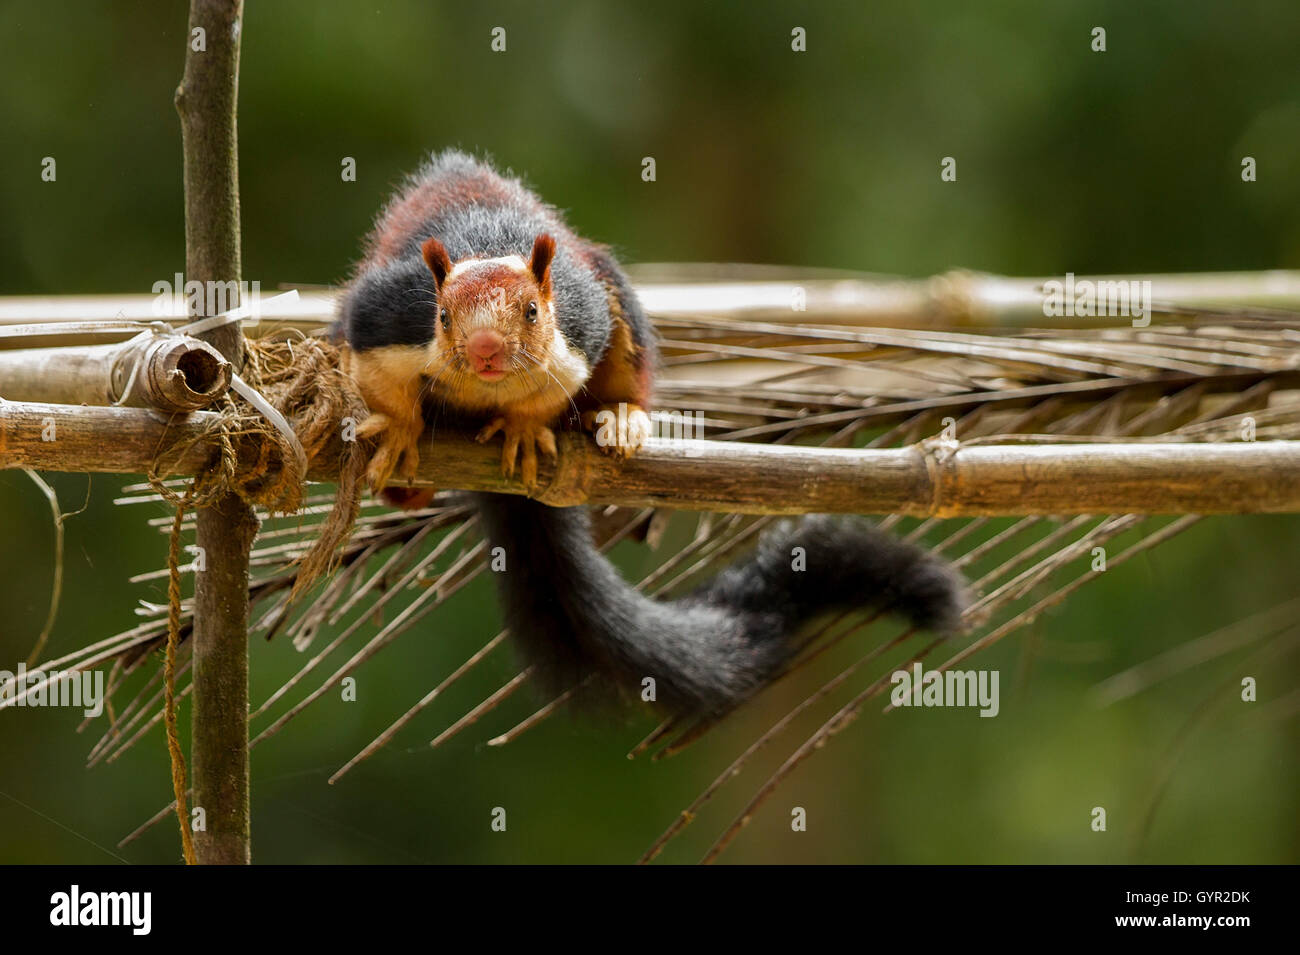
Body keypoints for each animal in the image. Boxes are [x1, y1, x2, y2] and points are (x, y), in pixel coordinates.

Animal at [339, 150, 968, 716]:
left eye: (531, 312)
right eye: (443, 317)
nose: (485, 350)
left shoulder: (582, 323)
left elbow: (553, 391)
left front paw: (523, 427)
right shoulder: (387, 315)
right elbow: (374, 372)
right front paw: (401, 430)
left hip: (612, 293)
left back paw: (620, 418)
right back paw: (404, 484)